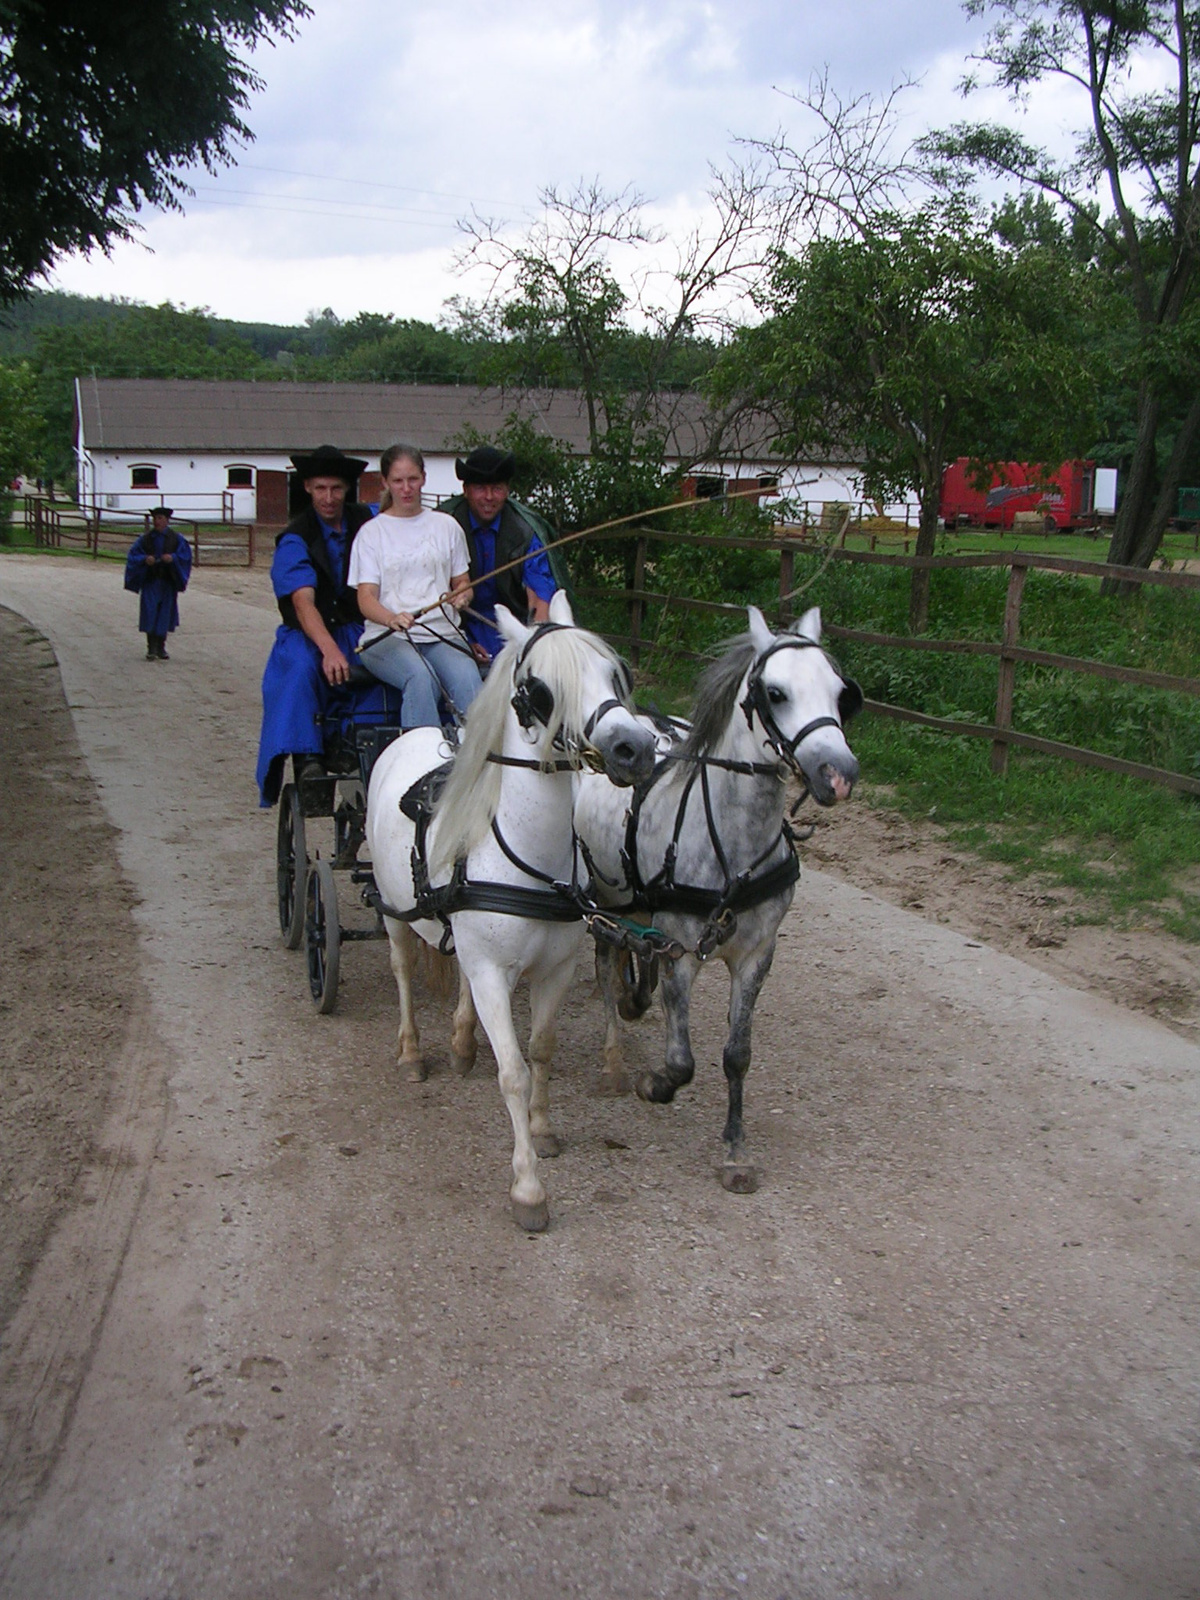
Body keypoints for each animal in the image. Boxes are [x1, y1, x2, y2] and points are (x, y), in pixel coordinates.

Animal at [366, 595, 659, 1228]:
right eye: (541, 688)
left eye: (615, 673)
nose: (635, 749)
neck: (529, 856)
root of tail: (410, 733)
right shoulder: (493, 975)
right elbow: (513, 1075)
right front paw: (528, 1187)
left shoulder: (552, 971)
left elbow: (541, 1051)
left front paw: (543, 1132)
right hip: (394, 912)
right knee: (403, 970)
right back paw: (412, 1051)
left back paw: (460, 1042)